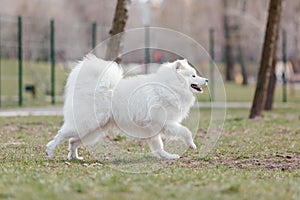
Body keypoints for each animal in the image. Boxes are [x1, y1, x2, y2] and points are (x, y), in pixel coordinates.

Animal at [45, 54, 207, 160]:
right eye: (193, 75)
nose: (206, 79)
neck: (170, 86)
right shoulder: (165, 123)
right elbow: (186, 131)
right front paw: (192, 145)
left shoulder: (154, 129)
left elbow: (158, 146)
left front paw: (168, 156)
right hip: (87, 124)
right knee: (62, 135)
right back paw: (50, 152)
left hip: (93, 130)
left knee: (73, 141)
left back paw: (74, 158)